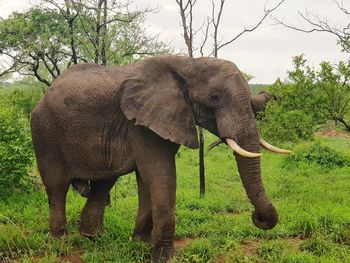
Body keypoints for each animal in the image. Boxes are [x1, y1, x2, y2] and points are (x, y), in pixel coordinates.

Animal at [30, 55, 288, 262]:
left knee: (104, 182)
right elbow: (161, 175)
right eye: (214, 97)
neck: (188, 64)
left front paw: (140, 244)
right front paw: (163, 257)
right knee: (57, 186)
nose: (257, 218)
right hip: (44, 132)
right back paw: (60, 242)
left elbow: (147, 180)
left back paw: (94, 237)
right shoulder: (141, 123)